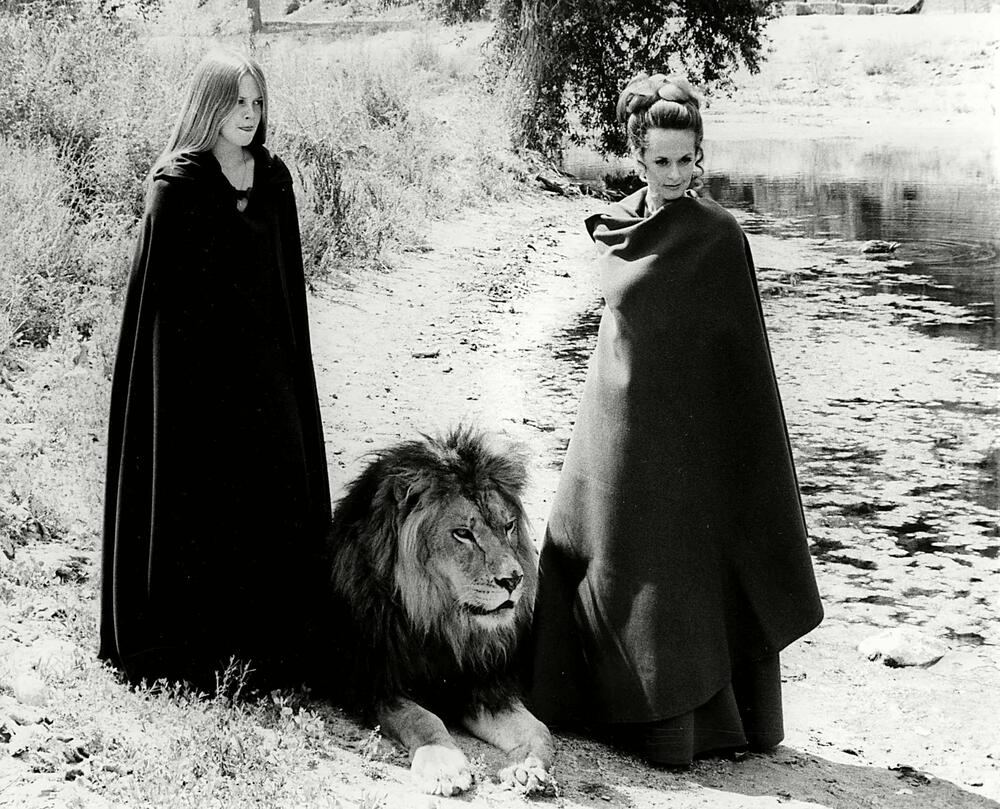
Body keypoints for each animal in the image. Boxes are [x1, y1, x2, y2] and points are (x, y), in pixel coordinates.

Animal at [325, 426, 553, 796]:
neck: (442, 623)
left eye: (507, 526)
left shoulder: (483, 684)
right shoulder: (374, 681)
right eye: (463, 533)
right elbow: (422, 718)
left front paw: (527, 767)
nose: (514, 579)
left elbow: (538, 729)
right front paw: (444, 767)